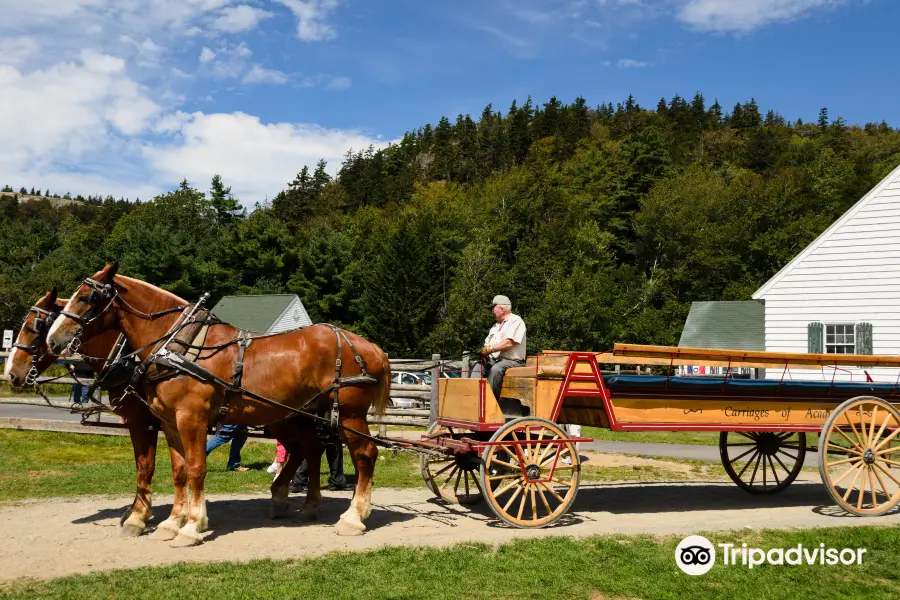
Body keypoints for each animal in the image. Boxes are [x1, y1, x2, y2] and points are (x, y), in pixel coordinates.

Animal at [4, 286, 169, 536]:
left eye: (35, 327)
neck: (126, 359)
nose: (11, 373)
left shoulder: (142, 420)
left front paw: (138, 516)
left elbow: (145, 466)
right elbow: (143, 464)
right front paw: (137, 511)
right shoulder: (142, 422)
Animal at [45, 262, 390, 544]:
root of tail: (370, 347)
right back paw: (307, 504)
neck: (179, 347)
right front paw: (171, 522)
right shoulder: (169, 422)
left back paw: (353, 517)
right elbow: (179, 470)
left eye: (86, 297)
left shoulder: (190, 418)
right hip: (300, 414)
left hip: (349, 414)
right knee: (310, 448)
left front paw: (191, 526)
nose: (53, 340)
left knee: (365, 454)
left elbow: (196, 468)